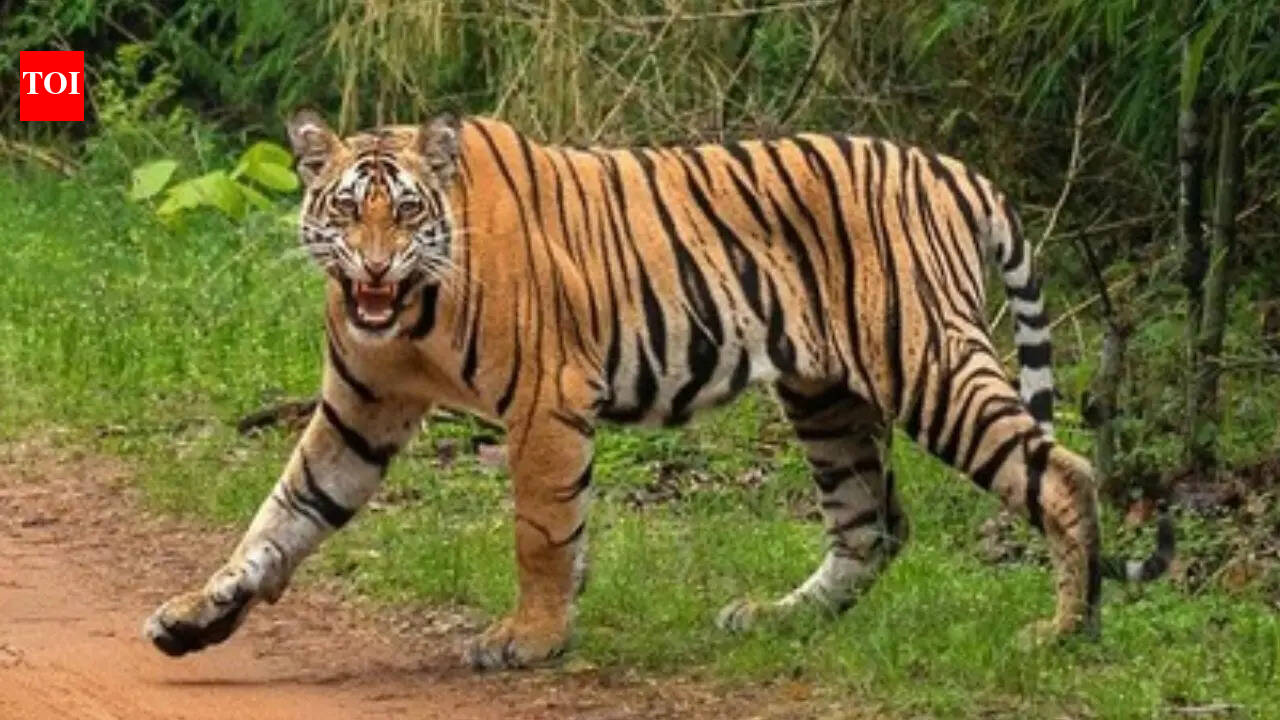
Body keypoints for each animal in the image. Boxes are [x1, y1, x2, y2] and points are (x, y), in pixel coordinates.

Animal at [143, 110, 1174, 668]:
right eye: (344, 210)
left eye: (403, 213)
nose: (371, 268)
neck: (409, 316)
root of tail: (955, 169)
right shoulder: (359, 412)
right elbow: (281, 517)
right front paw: (196, 616)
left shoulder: (547, 399)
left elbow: (541, 530)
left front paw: (531, 639)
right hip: (825, 395)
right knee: (872, 524)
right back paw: (773, 620)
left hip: (927, 362)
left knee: (1062, 474)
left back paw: (1065, 632)